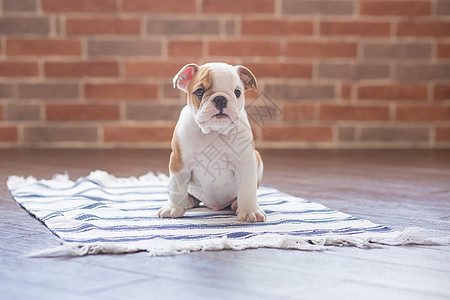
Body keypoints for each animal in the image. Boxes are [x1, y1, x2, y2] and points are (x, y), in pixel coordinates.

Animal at [157, 62, 268, 223]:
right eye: (199, 91)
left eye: (237, 92)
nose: (221, 99)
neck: (214, 131)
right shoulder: (179, 161)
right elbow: (176, 188)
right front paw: (173, 208)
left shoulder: (246, 161)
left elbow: (247, 189)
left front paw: (249, 211)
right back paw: (187, 201)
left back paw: (236, 204)